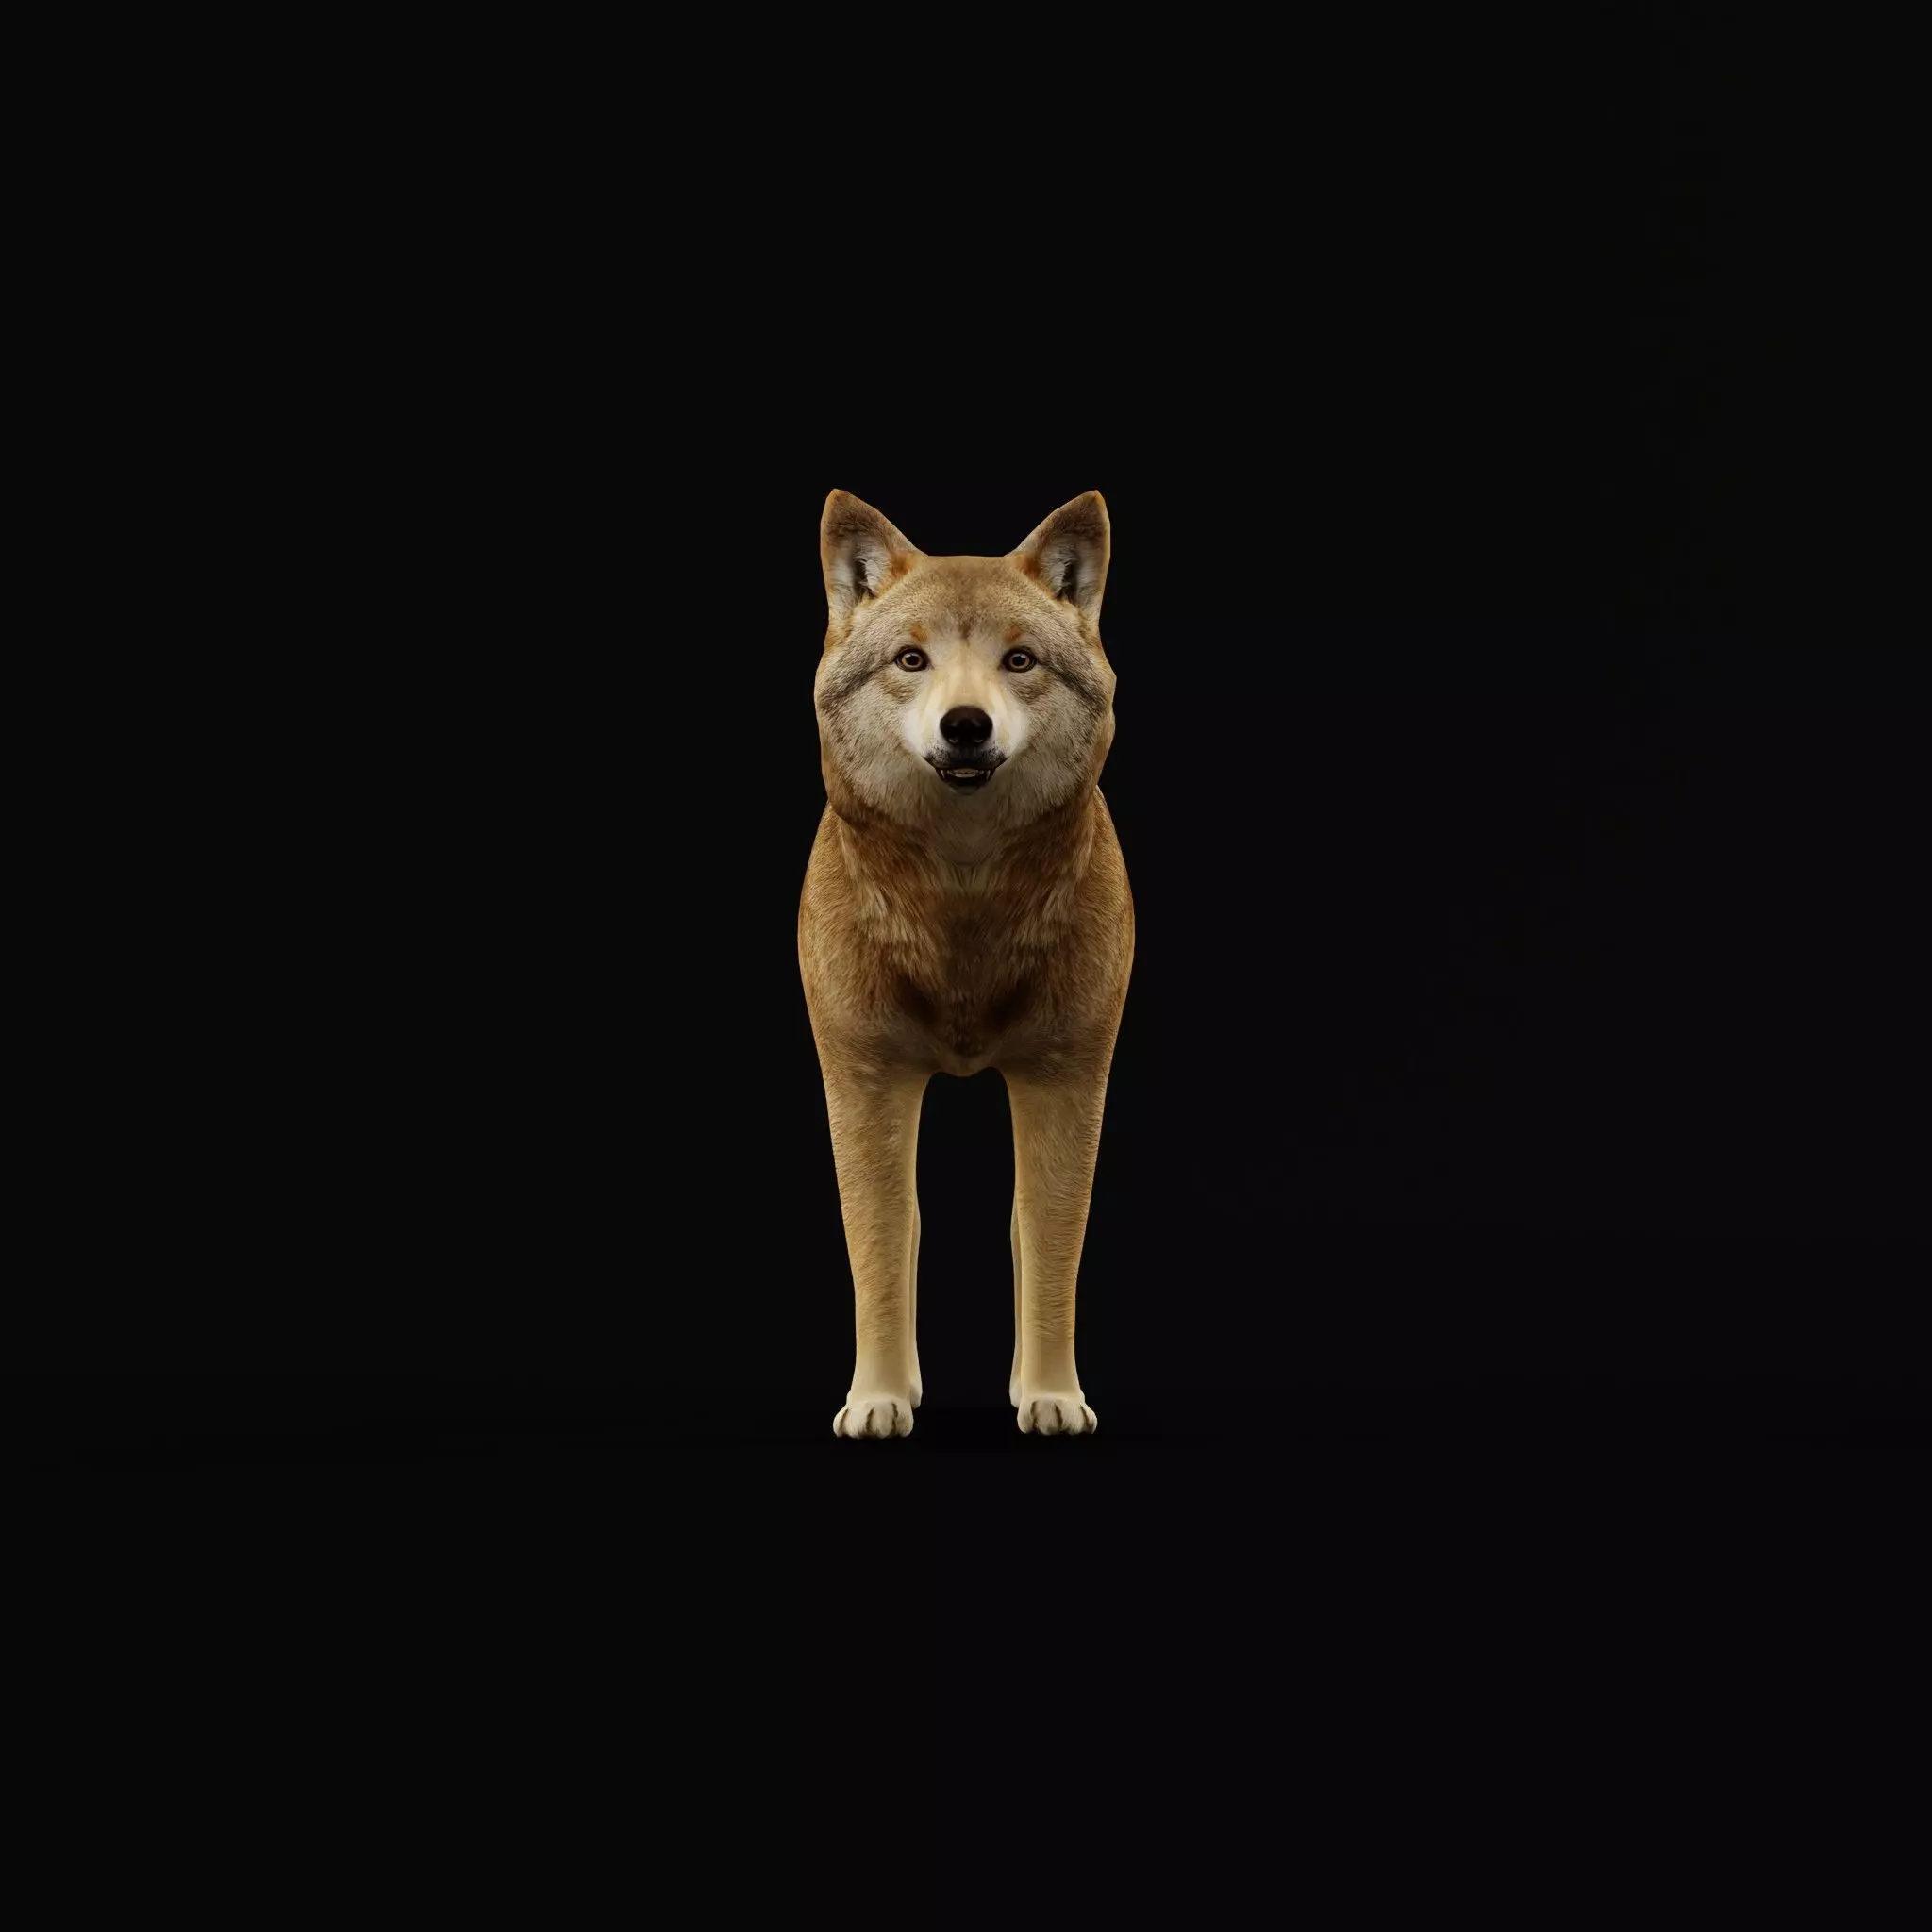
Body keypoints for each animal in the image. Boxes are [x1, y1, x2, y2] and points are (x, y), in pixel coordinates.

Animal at [799, 489, 1133, 1438]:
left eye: (1018, 660)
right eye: (912, 659)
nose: (966, 725)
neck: (963, 902)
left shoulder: (1068, 1077)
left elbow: (1048, 1245)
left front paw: (1052, 1397)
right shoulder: (864, 1079)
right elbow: (883, 1247)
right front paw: (877, 1400)